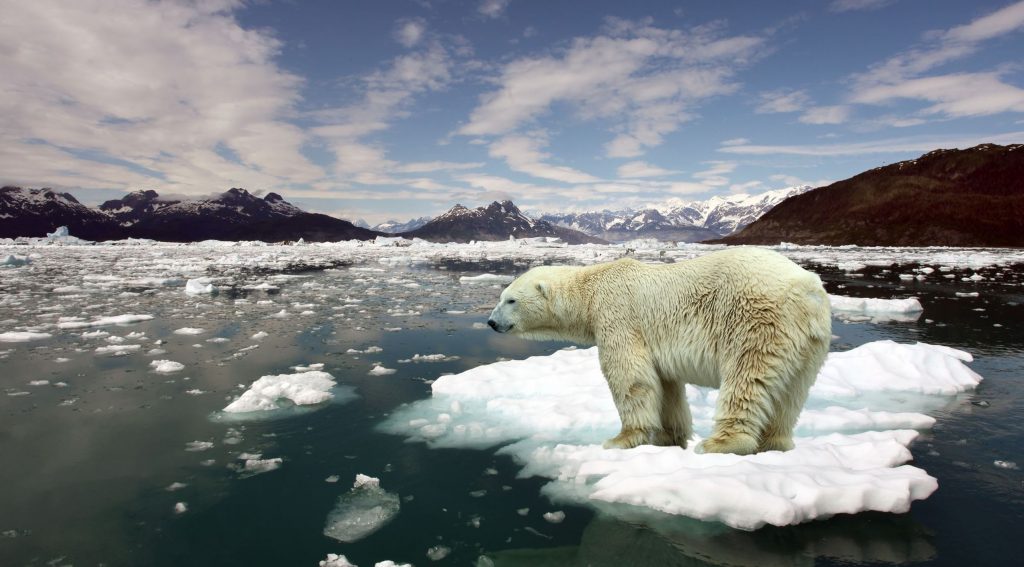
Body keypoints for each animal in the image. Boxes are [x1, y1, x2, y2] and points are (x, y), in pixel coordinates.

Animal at [486, 247, 832, 455]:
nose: (491, 322)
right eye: (501, 297)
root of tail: (807, 289)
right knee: (791, 393)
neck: (591, 289)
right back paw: (775, 443)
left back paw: (720, 443)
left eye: (510, 300)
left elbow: (630, 376)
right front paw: (670, 438)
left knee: (747, 378)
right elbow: (666, 386)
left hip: (756, 320)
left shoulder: (618, 316)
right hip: (809, 343)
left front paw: (621, 439)